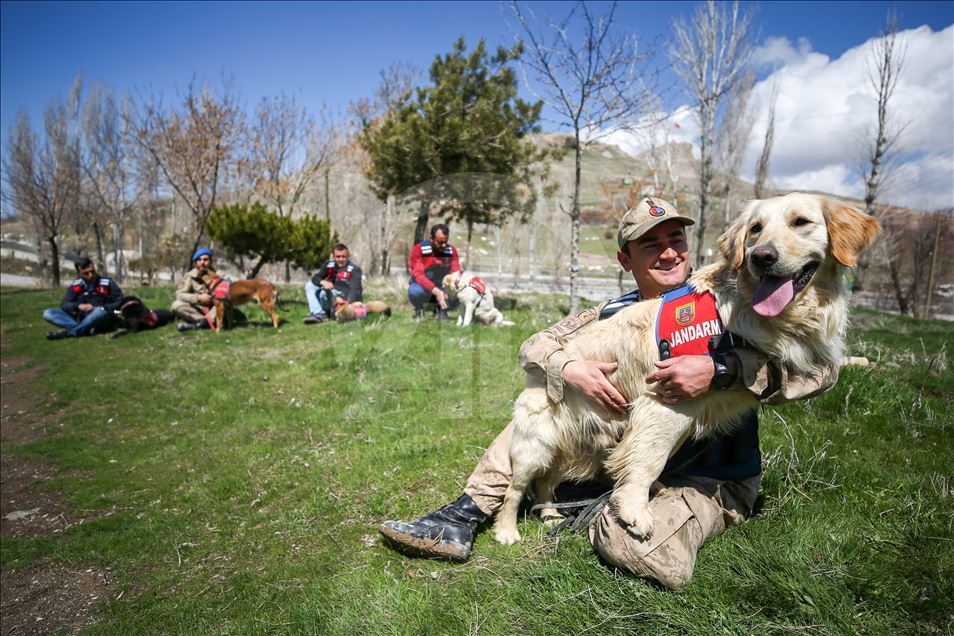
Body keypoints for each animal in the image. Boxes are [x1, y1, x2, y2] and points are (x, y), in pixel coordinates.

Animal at [494, 191, 880, 544]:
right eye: (755, 228)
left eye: (801, 222)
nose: (762, 257)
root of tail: (536, 377)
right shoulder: (663, 400)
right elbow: (648, 458)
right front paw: (634, 509)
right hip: (536, 447)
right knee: (516, 489)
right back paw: (507, 531)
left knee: (546, 483)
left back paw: (549, 514)